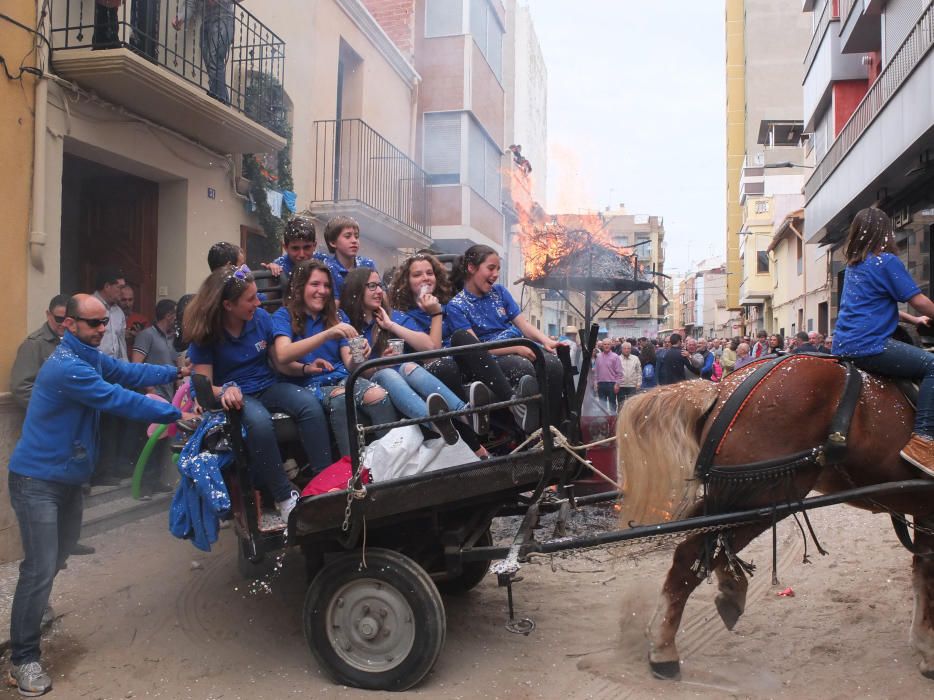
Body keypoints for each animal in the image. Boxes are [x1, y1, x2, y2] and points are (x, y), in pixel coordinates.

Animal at [616, 356, 934, 680]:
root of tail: (723, 388)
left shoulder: (925, 512)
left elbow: (923, 573)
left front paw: (924, 645)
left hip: (737, 495)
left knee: (711, 542)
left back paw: (729, 586)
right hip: (762, 495)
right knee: (691, 554)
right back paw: (662, 648)